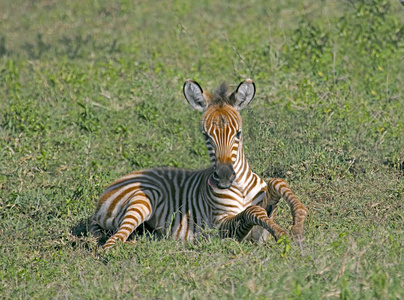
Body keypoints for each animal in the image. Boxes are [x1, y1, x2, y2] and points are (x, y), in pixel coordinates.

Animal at [90, 78, 306, 250]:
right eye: (206, 135)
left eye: (238, 133)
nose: (225, 177)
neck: (241, 187)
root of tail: (114, 182)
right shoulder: (221, 224)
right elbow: (253, 211)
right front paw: (283, 233)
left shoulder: (259, 233)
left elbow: (276, 184)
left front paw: (297, 223)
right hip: (145, 198)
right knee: (111, 243)